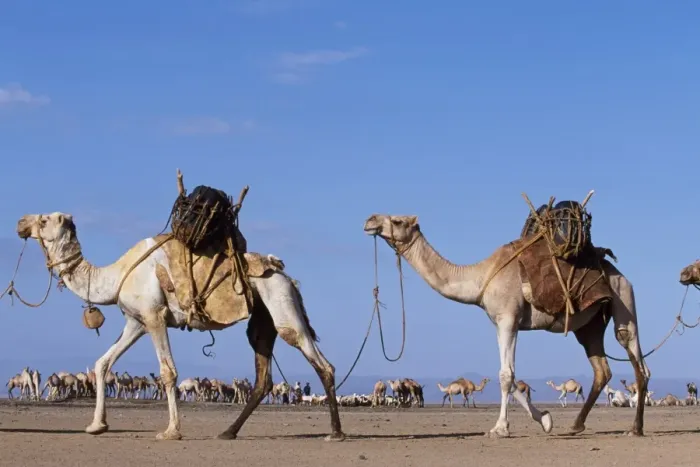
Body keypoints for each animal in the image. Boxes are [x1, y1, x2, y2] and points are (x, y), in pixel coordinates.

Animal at [16, 210, 343, 441]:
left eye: (44, 219)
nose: (20, 222)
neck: (115, 275)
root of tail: (288, 277)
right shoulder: (136, 322)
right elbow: (102, 363)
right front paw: (97, 425)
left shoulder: (154, 316)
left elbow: (168, 372)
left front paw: (171, 431)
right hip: (263, 319)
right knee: (263, 376)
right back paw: (228, 432)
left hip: (282, 304)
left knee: (319, 362)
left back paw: (336, 433)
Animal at [364, 213, 649, 437]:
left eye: (397, 220)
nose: (370, 220)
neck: (480, 277)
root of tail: (621, 275)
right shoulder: (499, 323)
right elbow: (510, 375)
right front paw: (546, 420)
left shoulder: (508, 319)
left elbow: (506, 375)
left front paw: (500, 428)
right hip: (589, 325)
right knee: (601, 369)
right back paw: (576, 426)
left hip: (623, 300)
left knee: (638, 362)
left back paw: (635, 429)